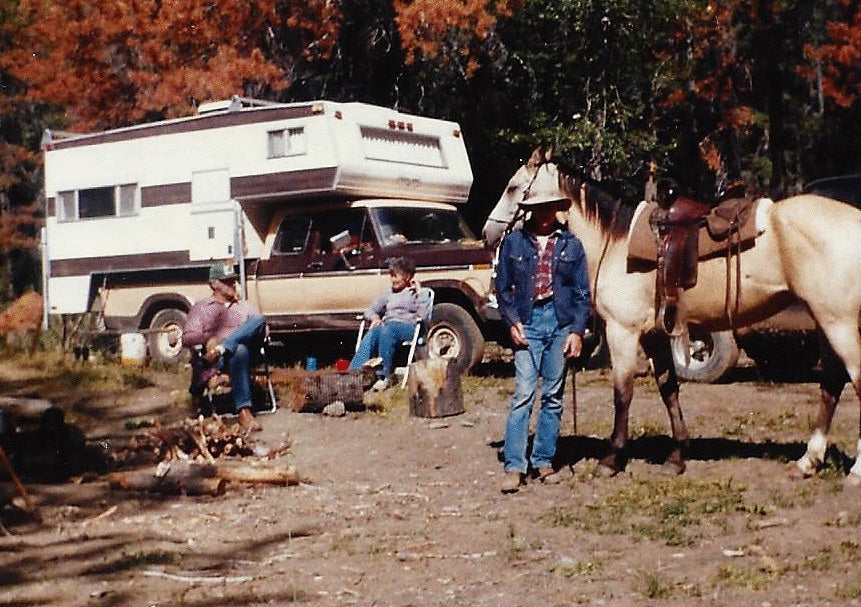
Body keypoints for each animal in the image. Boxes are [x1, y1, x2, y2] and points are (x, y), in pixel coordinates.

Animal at [484, 148, 860, 484]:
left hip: (839, 324)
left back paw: (853, 471)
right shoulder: (654, 335)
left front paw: (611, 460)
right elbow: (669, 390)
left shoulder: (623, 332)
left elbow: (622, 394)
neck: (615, 242)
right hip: (825, 321)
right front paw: (677, 456)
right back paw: (808, 462)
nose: (488, 234)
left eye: (513, 188)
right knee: (831, 385)